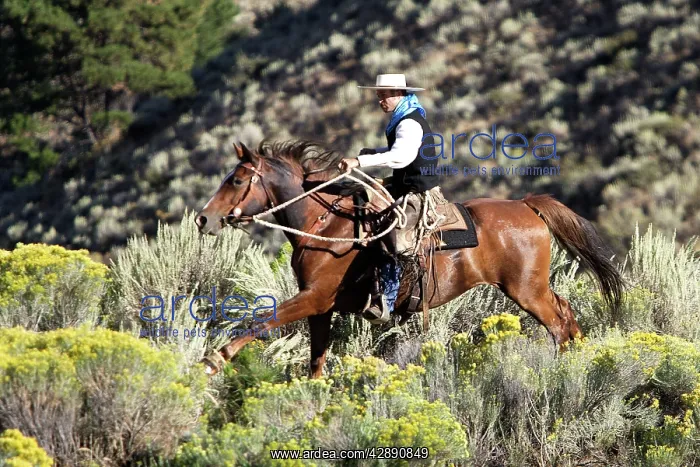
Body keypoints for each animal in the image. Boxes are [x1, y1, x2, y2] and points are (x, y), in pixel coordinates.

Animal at [194, 140, 624, 378]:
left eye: (236, 180)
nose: (203, 218)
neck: (326, 222)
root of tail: (526, 205)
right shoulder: (320, 308)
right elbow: (316, 361)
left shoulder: (314, 299)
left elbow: (261, 320)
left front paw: (216, 359)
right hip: (532, 288)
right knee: (567, 315)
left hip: (526, 290)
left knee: (559, 325)